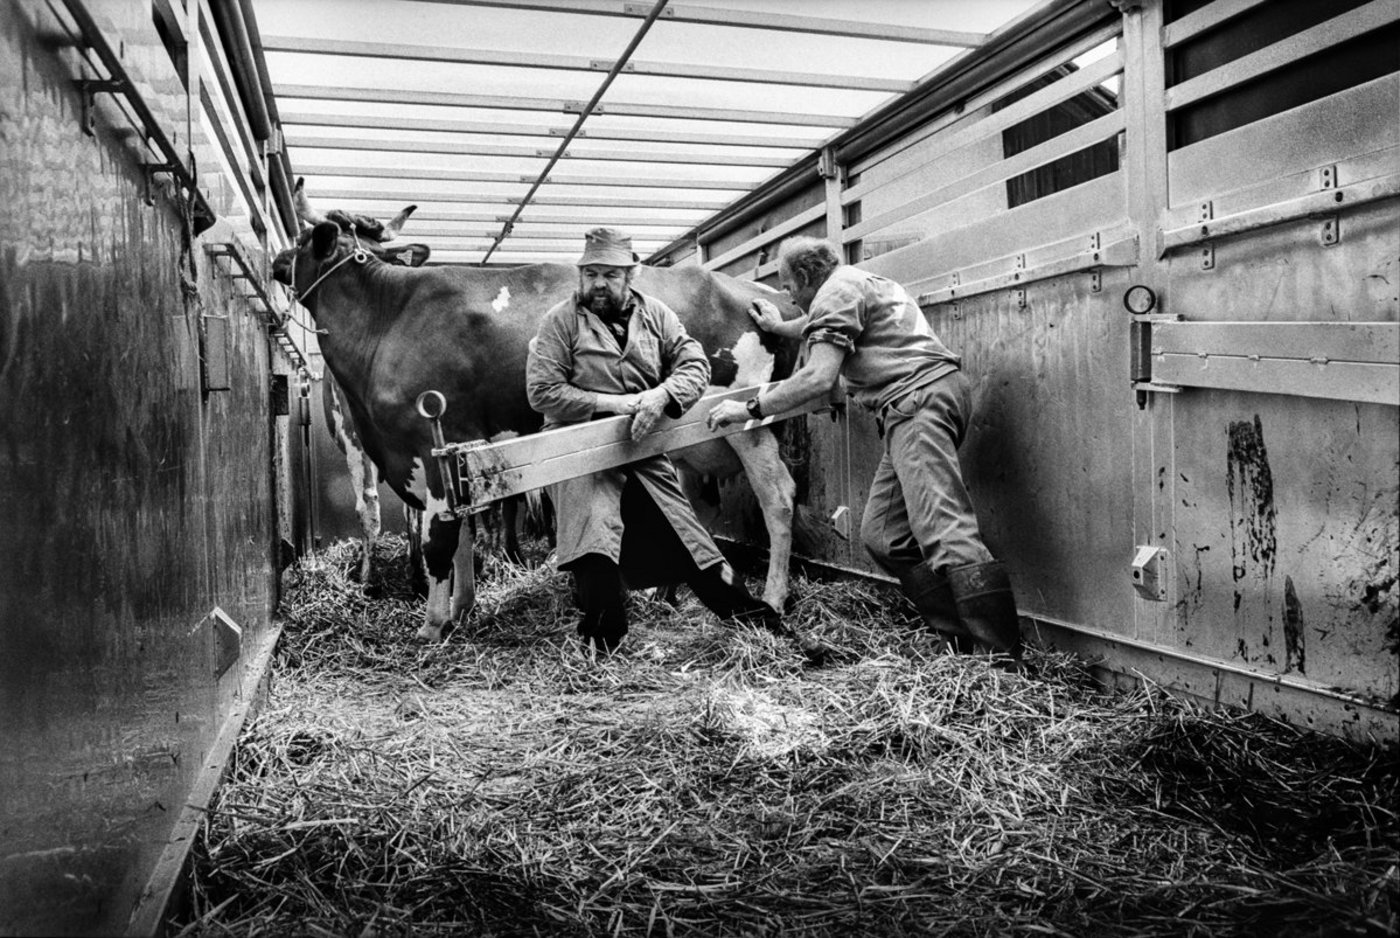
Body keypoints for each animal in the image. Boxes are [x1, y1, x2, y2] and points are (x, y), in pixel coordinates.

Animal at [273, 181, 808, 644]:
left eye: (299, 241)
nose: (276, 260)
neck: (387, 314)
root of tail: (765, 297)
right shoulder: (450, 452)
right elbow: (461, 534)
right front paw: (462, 609)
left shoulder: (429, 445)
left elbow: (439, 542)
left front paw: (432, 626)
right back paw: (666, 593)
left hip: (746, 425)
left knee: (779, 498)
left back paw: (774, 596)